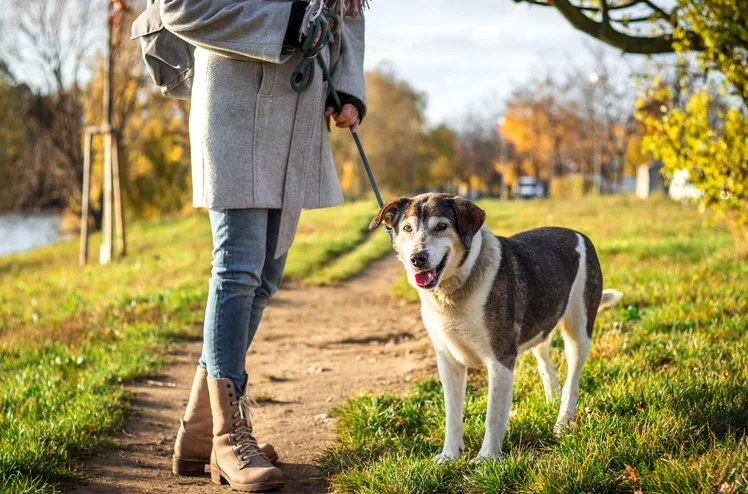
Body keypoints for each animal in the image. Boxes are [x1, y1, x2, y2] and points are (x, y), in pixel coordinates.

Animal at [372, 194, 624, 464]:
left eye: (441, 226)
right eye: (407, 228)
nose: (417, 259)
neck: (457, 287)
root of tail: (578, 234)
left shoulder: (501, 360)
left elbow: (493, 415)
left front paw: (487, 459)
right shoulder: (448, 361)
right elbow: (452, 414)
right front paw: (450, 455)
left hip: (579, 330)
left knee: (573, 380)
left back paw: (562, 422)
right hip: (541, 323)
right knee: (545, 362)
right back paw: (551, 399)